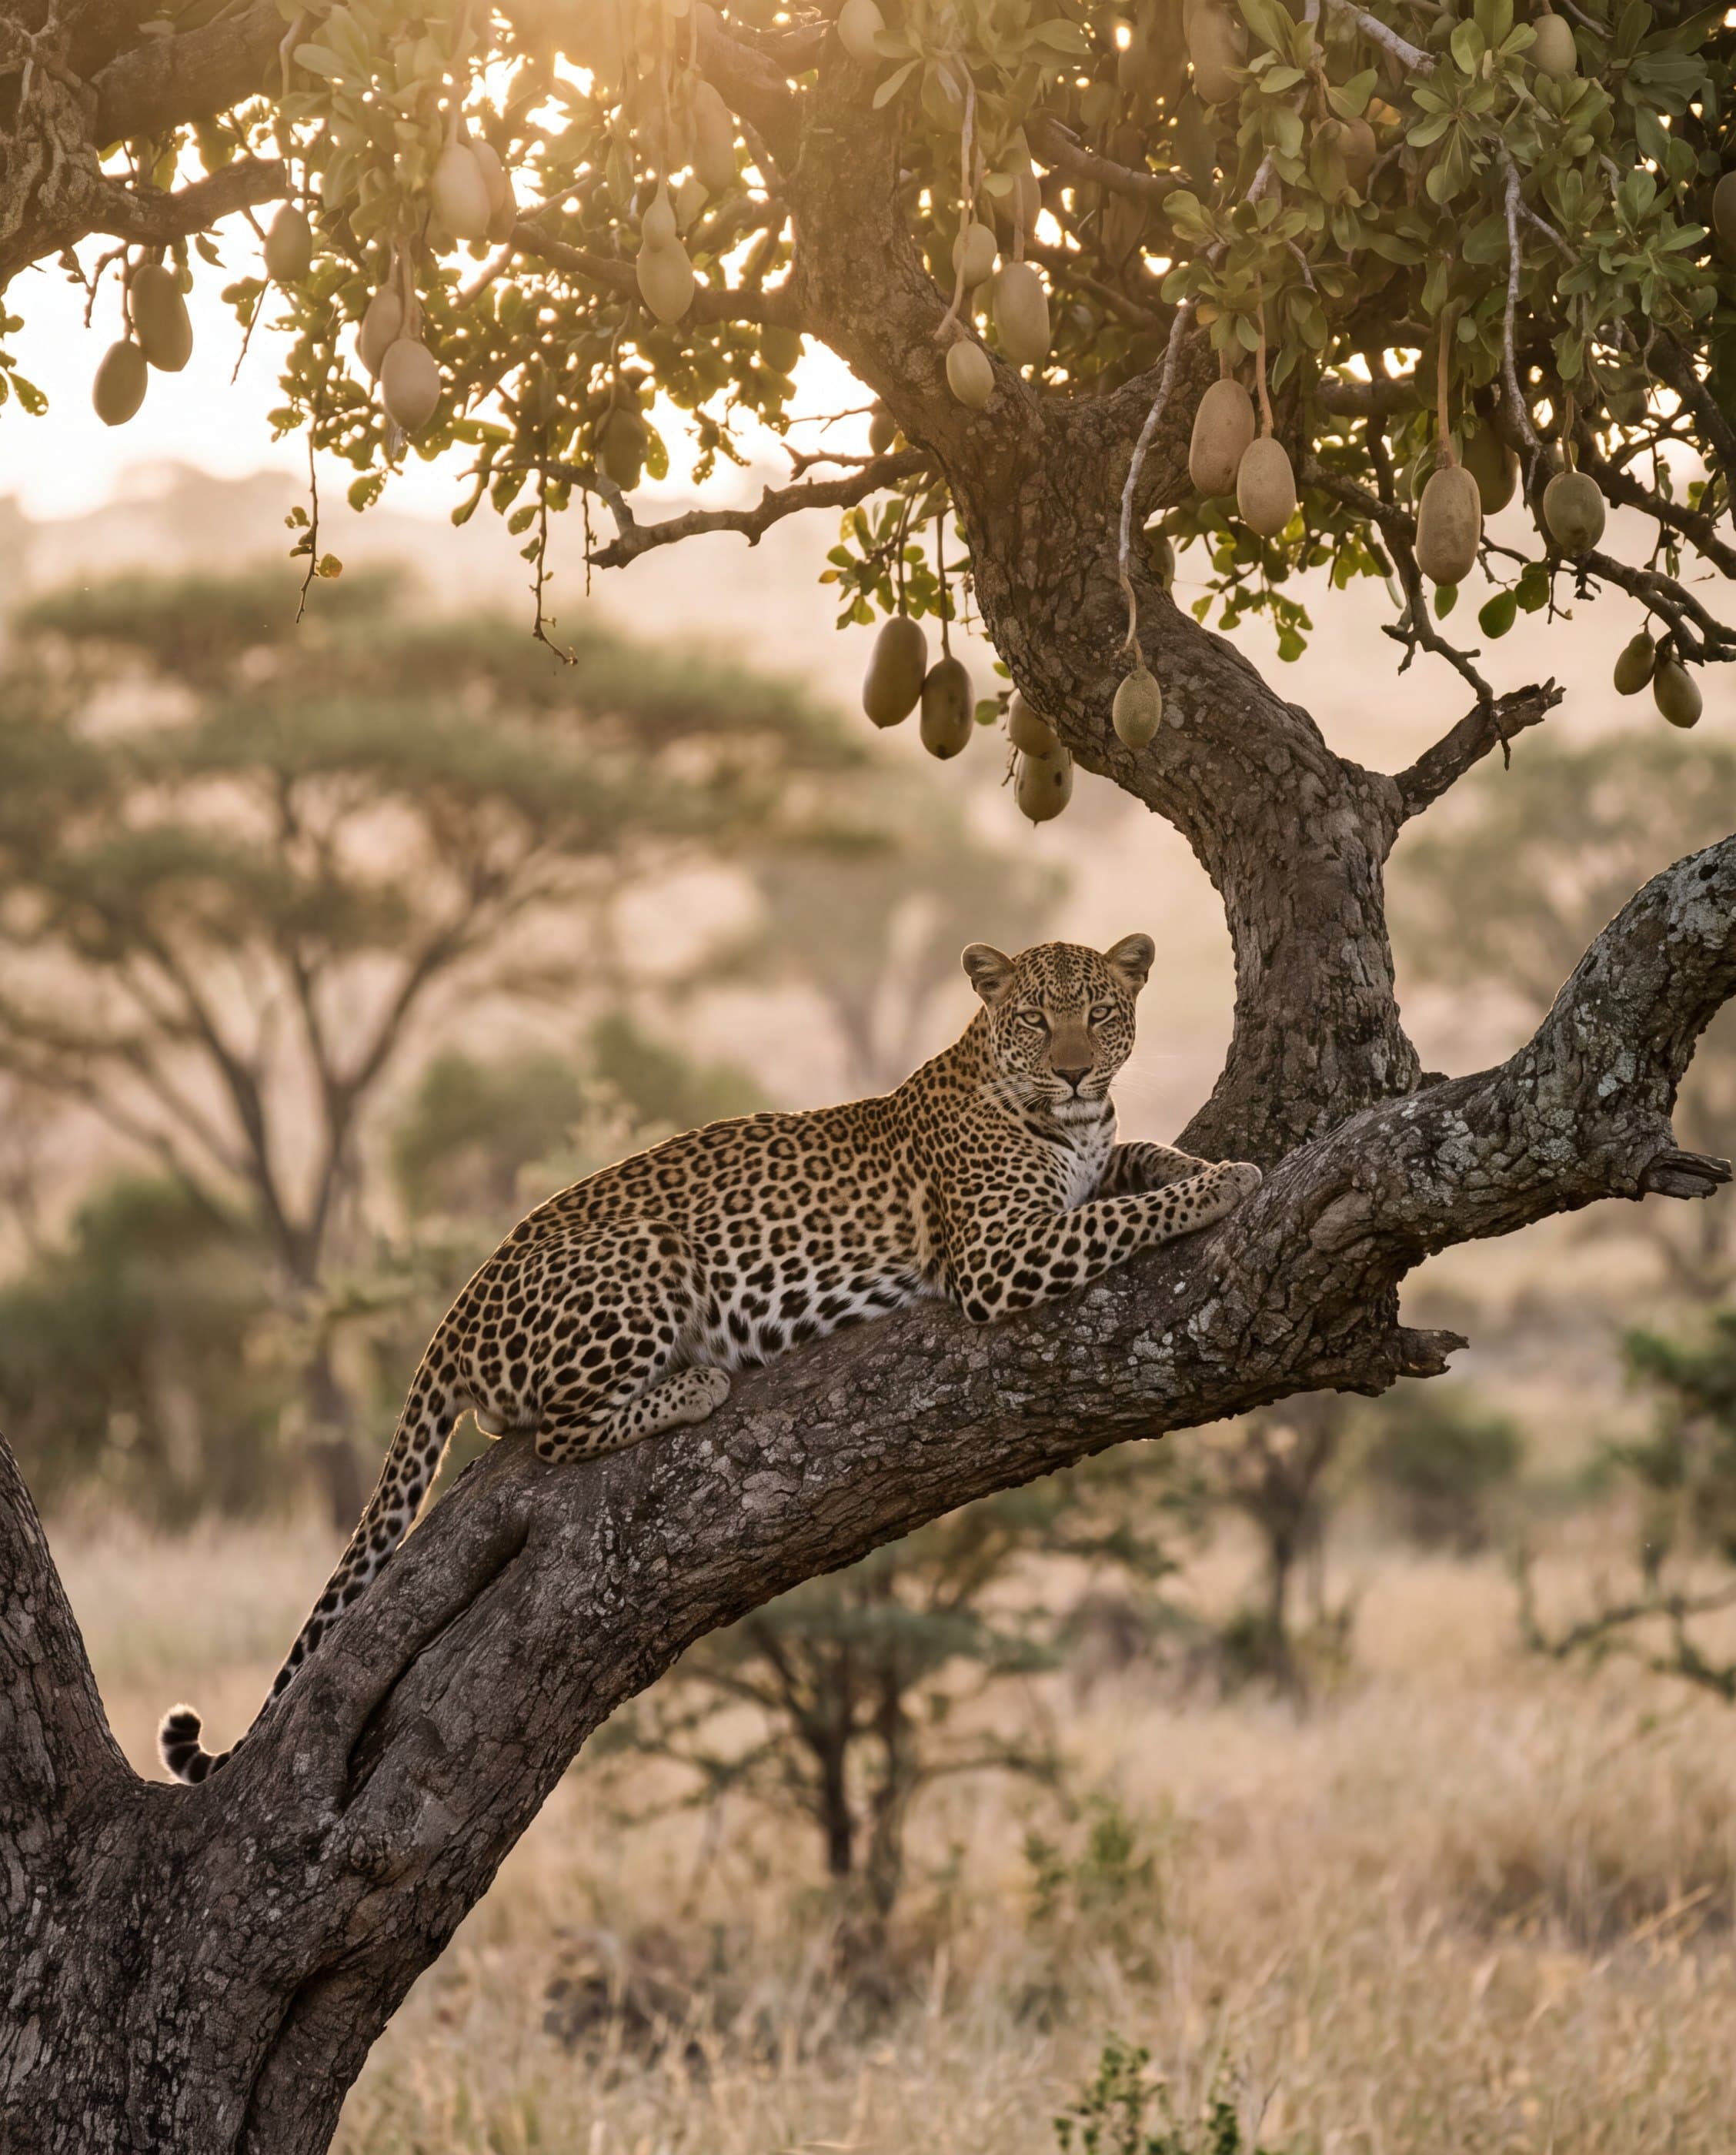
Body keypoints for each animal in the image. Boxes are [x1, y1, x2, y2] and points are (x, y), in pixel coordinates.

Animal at [160, 933, 1261, 1783]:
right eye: (1034, 1019)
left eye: (1102, 1013)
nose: (1075, 1069)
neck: (1055, 1114)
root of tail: (457, 1307)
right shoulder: (999, 1253)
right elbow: (1120, 1217)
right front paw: (1216, 1187)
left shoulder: (1072, 1183)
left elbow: (1132, 1164)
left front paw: (1206, 1161)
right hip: (648, 1252)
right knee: (551, 1431)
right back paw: (693, 1383)